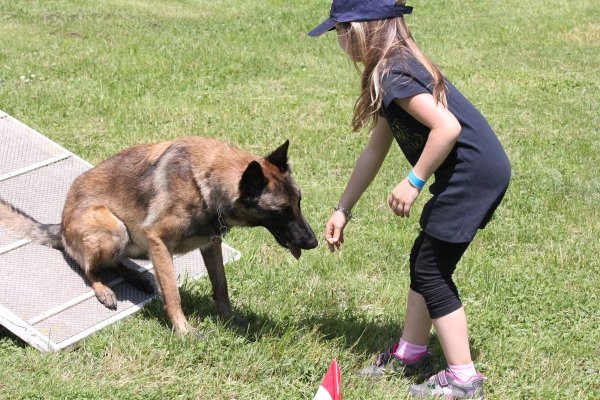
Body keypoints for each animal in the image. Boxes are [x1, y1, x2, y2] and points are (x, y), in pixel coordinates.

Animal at [0, 138, 318, 334]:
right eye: (283, 211)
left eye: (299, 202)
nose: (313, 242)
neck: (206, 181)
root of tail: (61, 224)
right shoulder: (157, 240)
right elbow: (173, 294)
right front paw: (184, 331)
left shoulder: (210, 244)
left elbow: (221, 285)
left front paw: (229, 318)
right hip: (114, 229)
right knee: (86, 265)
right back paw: (103, 289)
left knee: (114, 263)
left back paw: (137, 277)